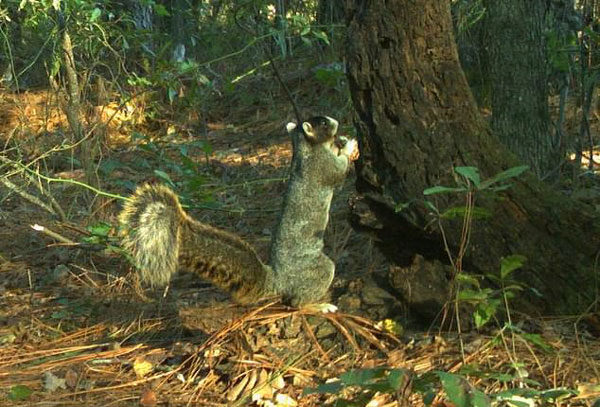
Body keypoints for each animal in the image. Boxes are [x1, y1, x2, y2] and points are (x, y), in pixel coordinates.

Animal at [119, 115, 358, 306]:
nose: (336, 122)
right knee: (297, 302)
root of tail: (278, 280)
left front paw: (343, 142)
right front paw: (349, 145)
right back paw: (318, 306)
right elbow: (340, 172)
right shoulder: (323, 166)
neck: (306, 149)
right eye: (324, 123)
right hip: (315, 270)